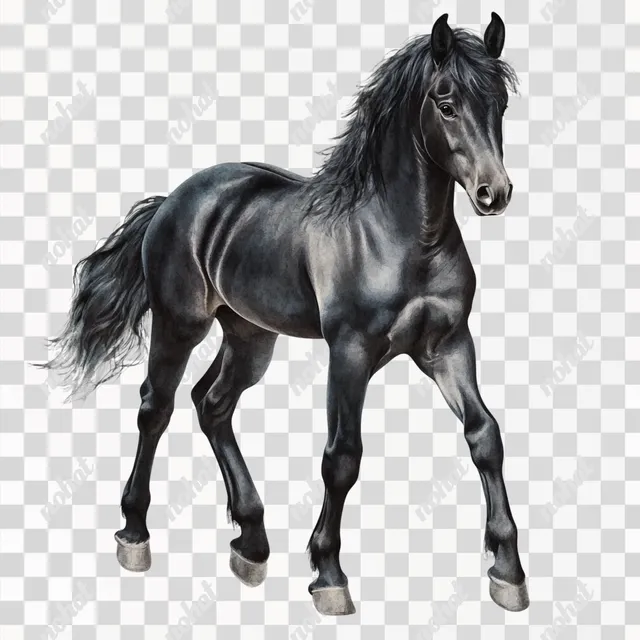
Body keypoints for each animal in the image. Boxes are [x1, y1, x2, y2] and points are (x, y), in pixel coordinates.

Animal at [41, 13, 528, 615]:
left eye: (499, 103)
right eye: (446, 103)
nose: (494, 193)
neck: (403, 236)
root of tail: (172, 202)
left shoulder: (449, 345)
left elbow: (485, 436)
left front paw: (507, 570)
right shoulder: (350, 351)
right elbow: (342, 458)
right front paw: (329, 575)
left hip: (251, 337)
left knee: (212, 404)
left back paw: (251, 543)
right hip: (180, 325)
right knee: (157, 407)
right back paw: (135, 536)